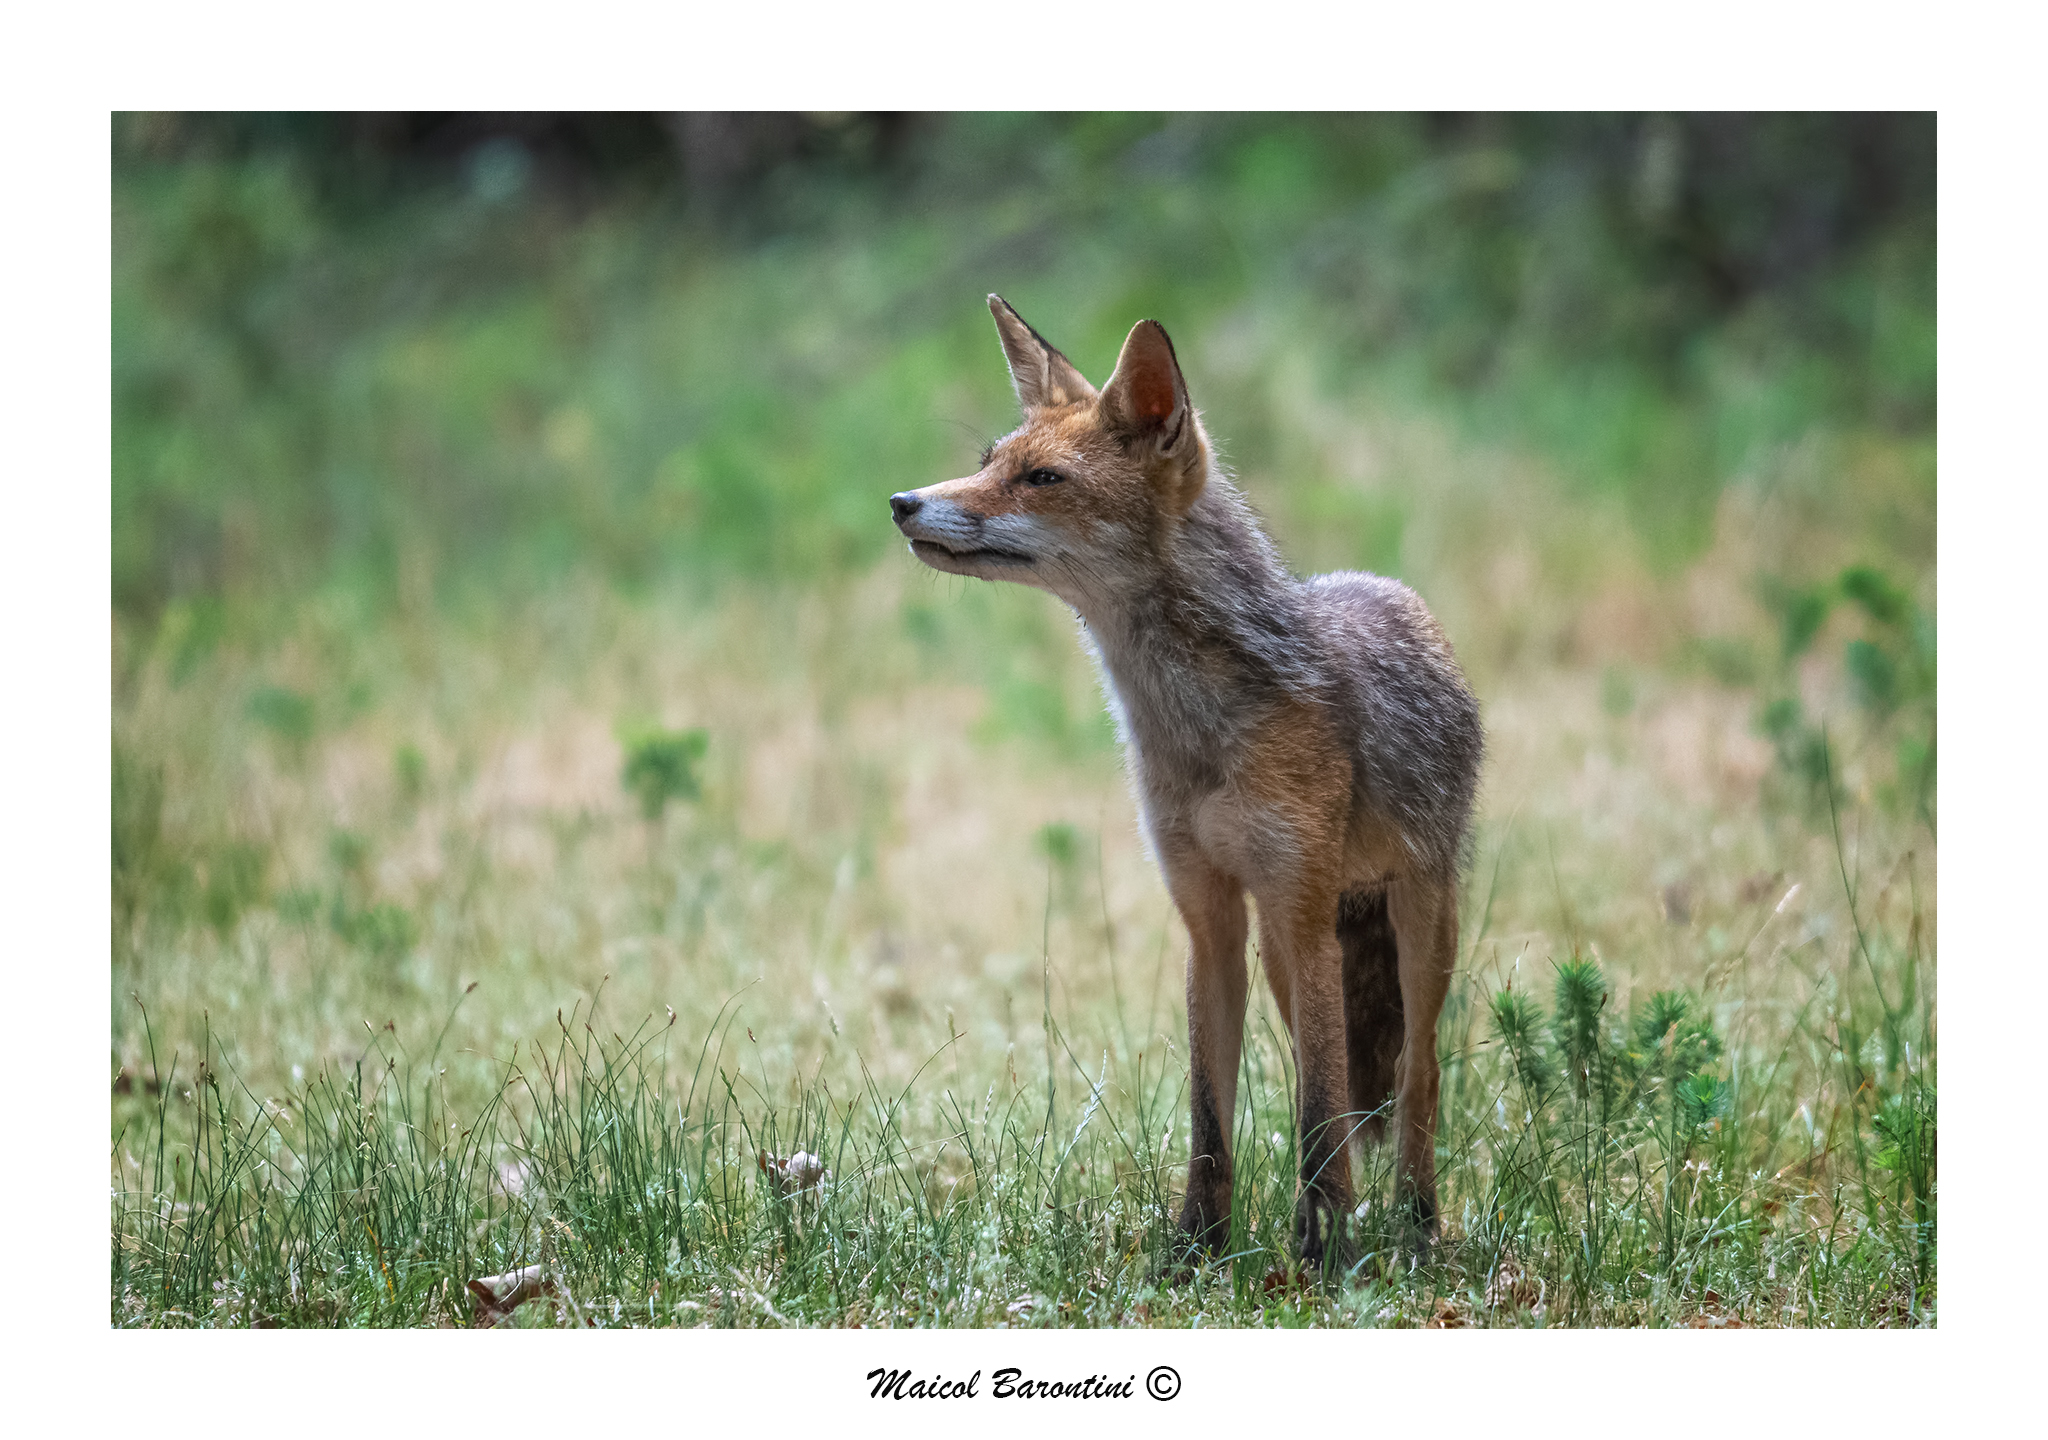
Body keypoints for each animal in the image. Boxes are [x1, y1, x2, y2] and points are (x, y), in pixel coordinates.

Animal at [890, 296, 1482, 1273]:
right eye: (987, 462)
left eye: (1042, 479)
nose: (903, 503)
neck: (1196, 739)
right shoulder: (1210, 919)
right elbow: (1216, 1114)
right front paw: (1198, 1250)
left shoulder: (1300, 908)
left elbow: (1322, 1117)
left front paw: (1323, 1255)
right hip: (1285, 954)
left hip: (1415, 921)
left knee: (1415, 1076)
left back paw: (1417, 1229)